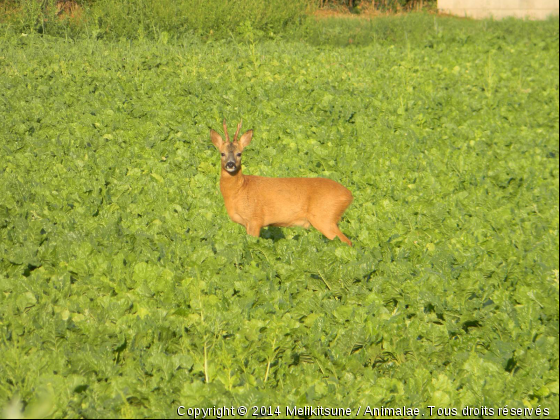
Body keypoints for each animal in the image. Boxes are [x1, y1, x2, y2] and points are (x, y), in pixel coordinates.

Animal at [210, 119, 354, 246]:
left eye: (239, 153)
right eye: (222, 153)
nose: (230, 164)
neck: (239, 190)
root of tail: (349, 195)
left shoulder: (255, 219)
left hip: (325, 217)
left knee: (347, 242)